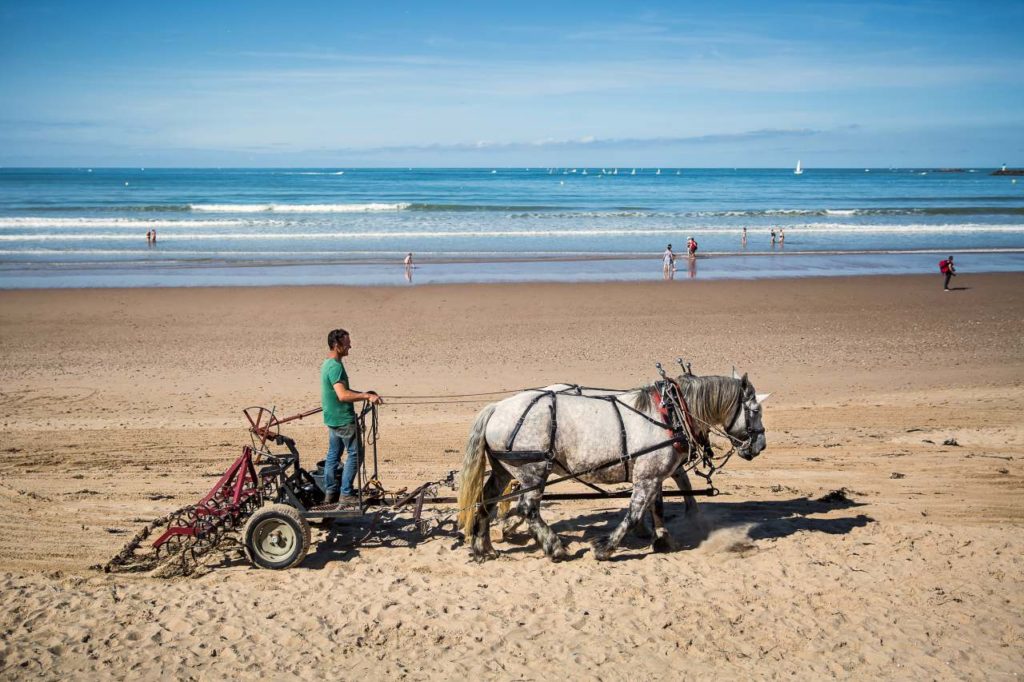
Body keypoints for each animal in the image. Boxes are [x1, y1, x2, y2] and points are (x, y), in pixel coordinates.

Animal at [458, 372, 770, 557]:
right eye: (755, 410)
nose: (760, 445)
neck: (670, 413)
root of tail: (496, 408)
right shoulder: (648, 476)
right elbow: (633, 514)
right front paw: (605, 547)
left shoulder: (653, 474)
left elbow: (656, 508)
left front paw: (663, 540)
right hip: (533, 472)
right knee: (527, 509)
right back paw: (554, 547)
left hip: (503, 469)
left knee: (486, 500)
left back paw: (483, 547)